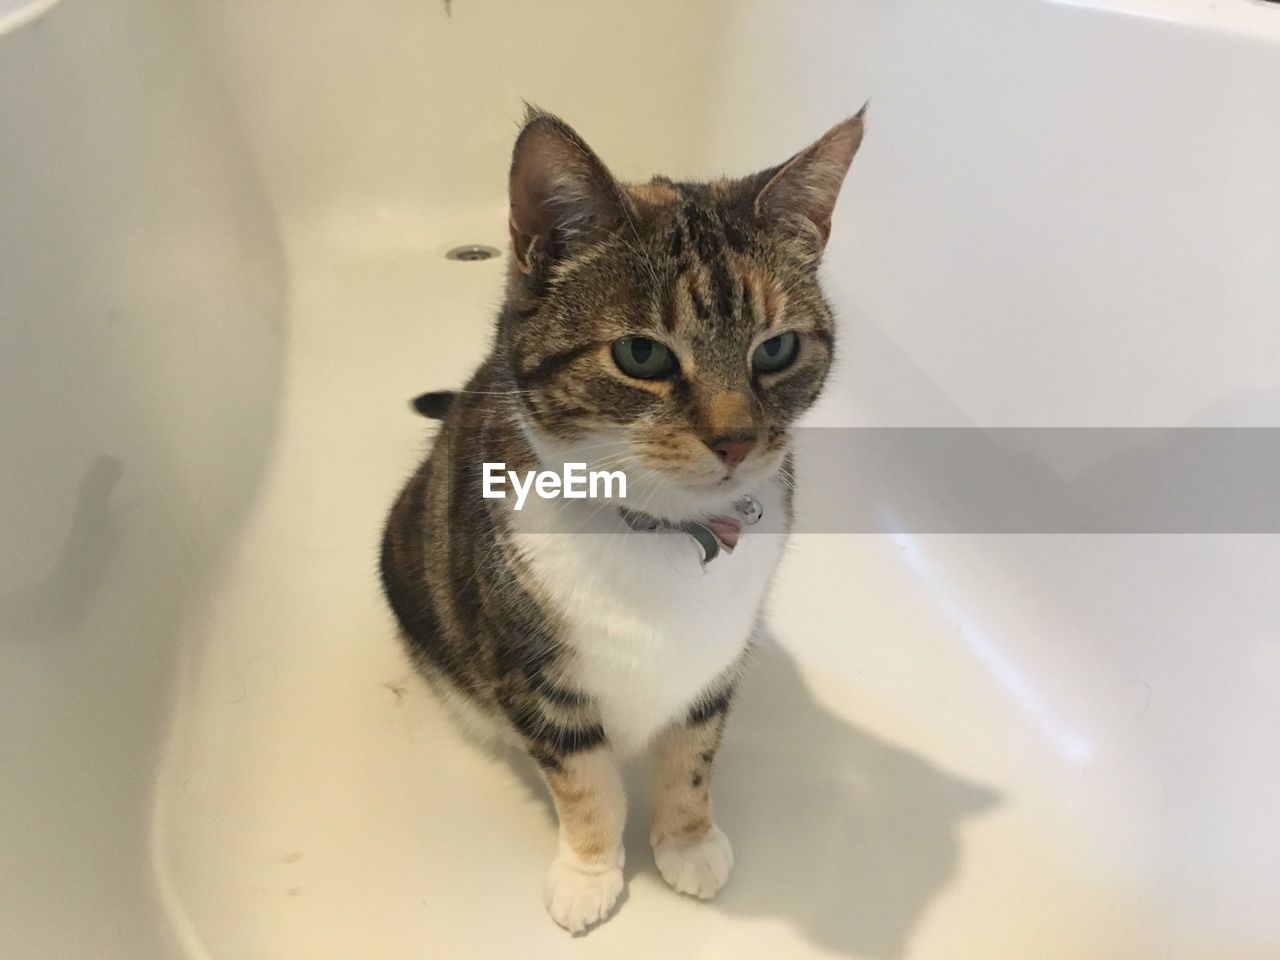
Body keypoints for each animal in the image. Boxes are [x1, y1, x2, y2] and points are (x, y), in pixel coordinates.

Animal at [376, 104, 860, 931]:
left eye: (777, 349)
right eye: (642, 355)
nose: (736, 439)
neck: (663, 532)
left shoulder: (714, 666)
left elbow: (693, 758)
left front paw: (688, 843)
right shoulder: (536, 681)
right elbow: (585, 786)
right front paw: (589, 873)